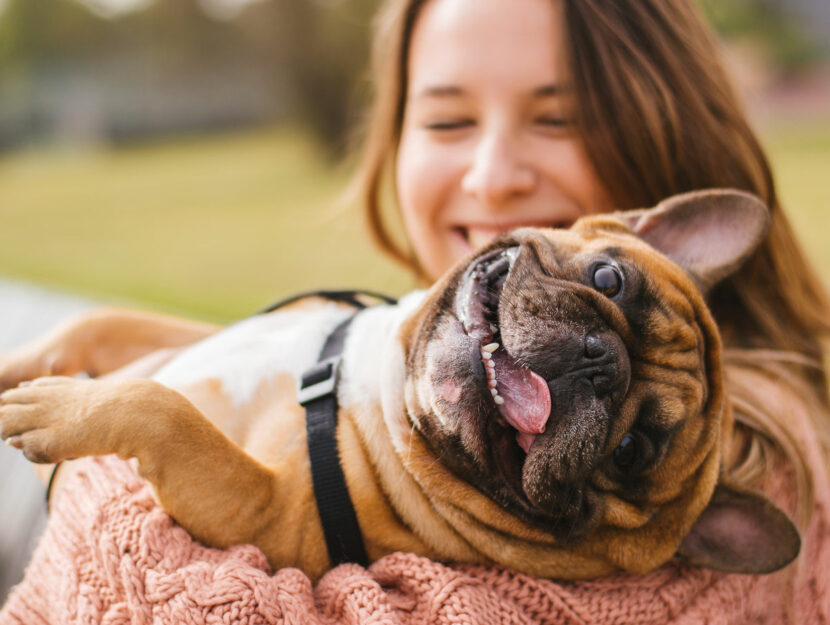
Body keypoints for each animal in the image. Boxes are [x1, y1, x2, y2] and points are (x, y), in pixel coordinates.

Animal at [1, 186, 808, 580]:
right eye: (609, 278)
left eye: (633, 450)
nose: (598, 360)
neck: (377, 387)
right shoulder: (177, 338)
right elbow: (96, 325)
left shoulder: (261, 512)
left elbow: (165, 409)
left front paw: (57, 407)